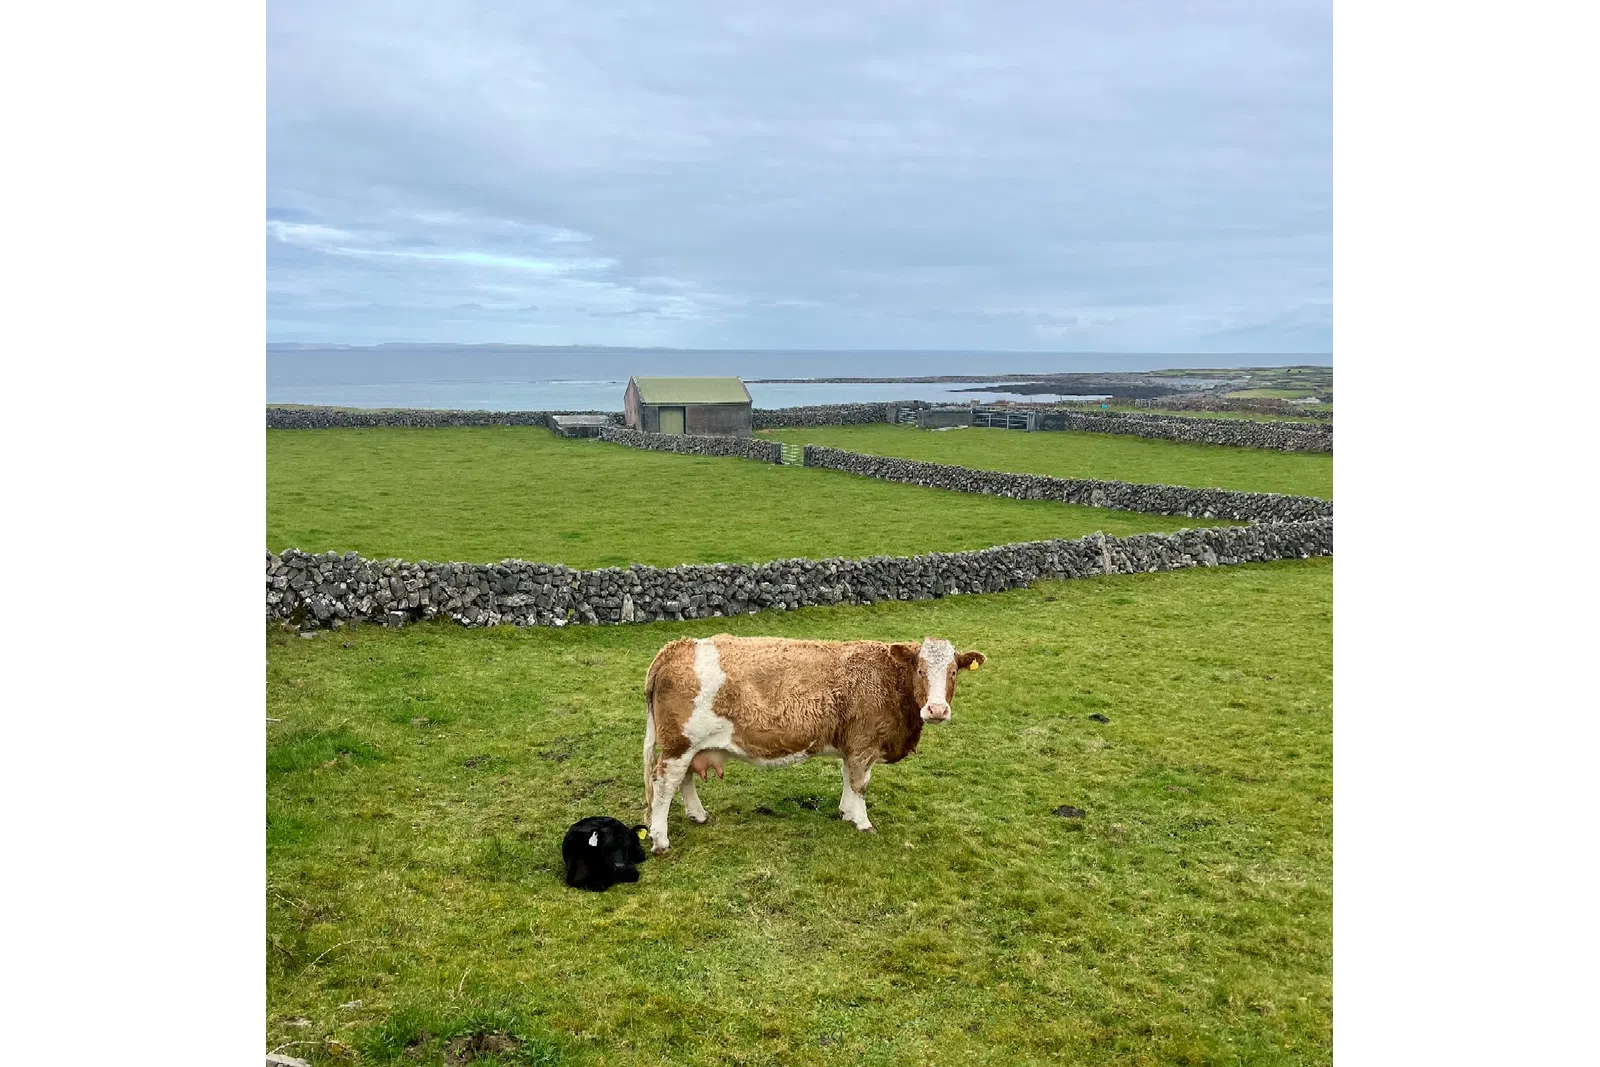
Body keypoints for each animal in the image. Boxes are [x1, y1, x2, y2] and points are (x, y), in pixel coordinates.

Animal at [641, 634, 986, 853]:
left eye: (953, 671)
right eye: (921, 669)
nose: (937, 710)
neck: (887, 679)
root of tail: (678, 647)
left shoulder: (851, 746)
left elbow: (847, 779)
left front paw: (846, 813)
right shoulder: (864, 744)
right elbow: (860, 784)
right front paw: (863, 822)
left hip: (688, 747)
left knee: (683, 780)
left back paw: (698, 815)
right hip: (679, 744)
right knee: (664, 784)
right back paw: (660, 840)